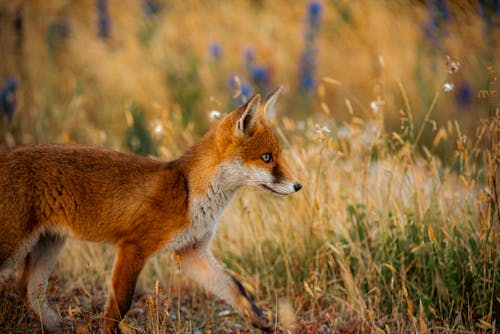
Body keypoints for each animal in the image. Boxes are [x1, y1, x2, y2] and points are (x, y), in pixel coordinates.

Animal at [0, 87, 300, 332]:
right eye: (266, 158)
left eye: (278, 156)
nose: (298, 185)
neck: (189, 194)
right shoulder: (134, 246)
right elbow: (119, 305)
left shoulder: (192, 252)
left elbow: (235, 287)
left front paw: (261, 321)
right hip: (14, 246)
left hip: (50, 242)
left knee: (29, 290)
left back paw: (56, 326)